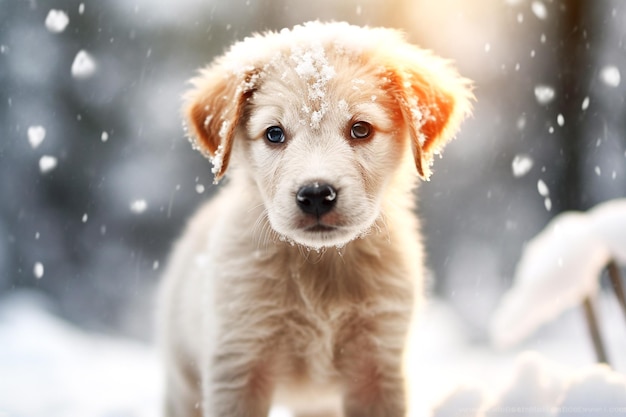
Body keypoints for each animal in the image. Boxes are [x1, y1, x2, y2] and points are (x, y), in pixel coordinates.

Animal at [158, 22, 470, 416]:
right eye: (274, 134)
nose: (317, 194)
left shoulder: (377, 364)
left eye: (361, 129)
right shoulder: (239, 362)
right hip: (183, 382)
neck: (320, 266)